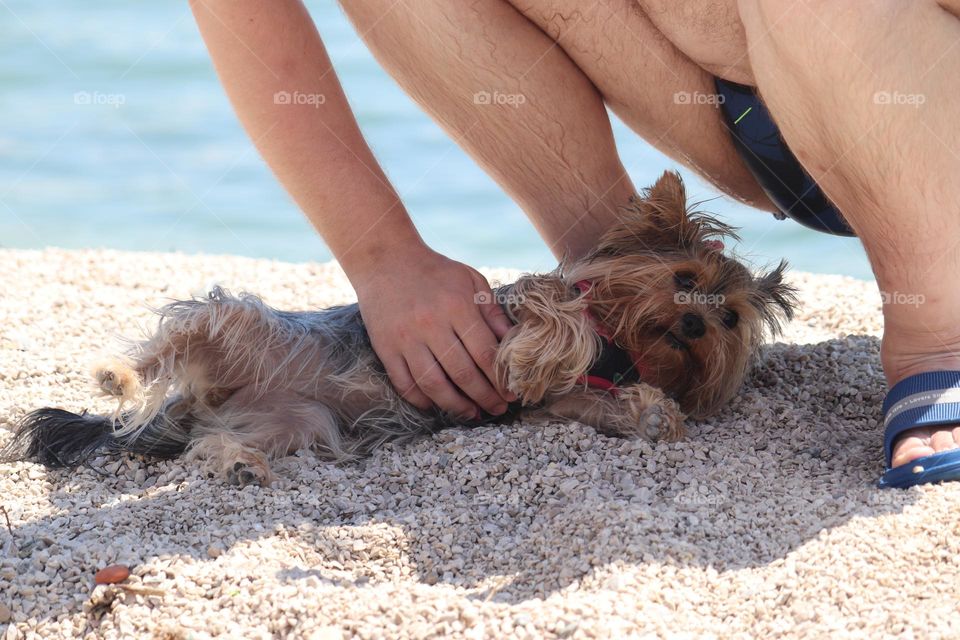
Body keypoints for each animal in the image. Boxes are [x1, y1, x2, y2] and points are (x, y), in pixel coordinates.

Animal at [0, 171, 796, 484]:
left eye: (728, 318)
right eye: (684, 279)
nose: (693, 327)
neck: (622, 346)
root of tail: (206, 399)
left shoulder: (553, 410)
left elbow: (593, 404)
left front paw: (654, 414)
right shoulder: (516, 307)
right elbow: (556, 314)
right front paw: (546, 352)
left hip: (298, 422)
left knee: (213, 441)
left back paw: (237, 462)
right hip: (235, 319)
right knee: (167, 345)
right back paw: (115, 374)